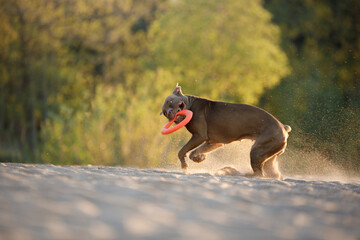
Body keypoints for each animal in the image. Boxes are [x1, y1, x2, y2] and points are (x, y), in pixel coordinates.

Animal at [162, 84, 292, 180]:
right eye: (164, 113)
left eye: (170, 102)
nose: (169, 113)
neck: (190, 104)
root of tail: (283, 128)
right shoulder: (214, 142)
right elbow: (194, 152)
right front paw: (199, 158)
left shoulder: (199, 136)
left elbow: (182, 151)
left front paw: (185, 165)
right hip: (268, 154)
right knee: (271, 173)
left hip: (257, 150)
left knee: (259, 173)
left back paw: (237, 173)